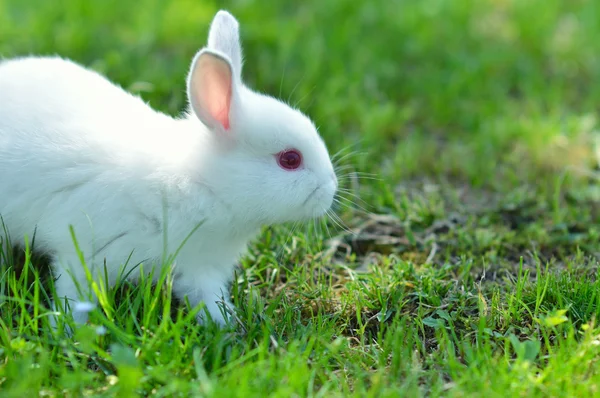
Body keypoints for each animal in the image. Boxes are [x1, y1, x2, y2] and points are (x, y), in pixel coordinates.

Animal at [0, 10, 338, 326]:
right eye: (290, 159)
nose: (331, 190)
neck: (200, 185)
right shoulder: (85, 254)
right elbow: (75, 296)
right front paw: (71, 332)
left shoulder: (202, 268)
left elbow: (210, 300)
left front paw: (228, 327)